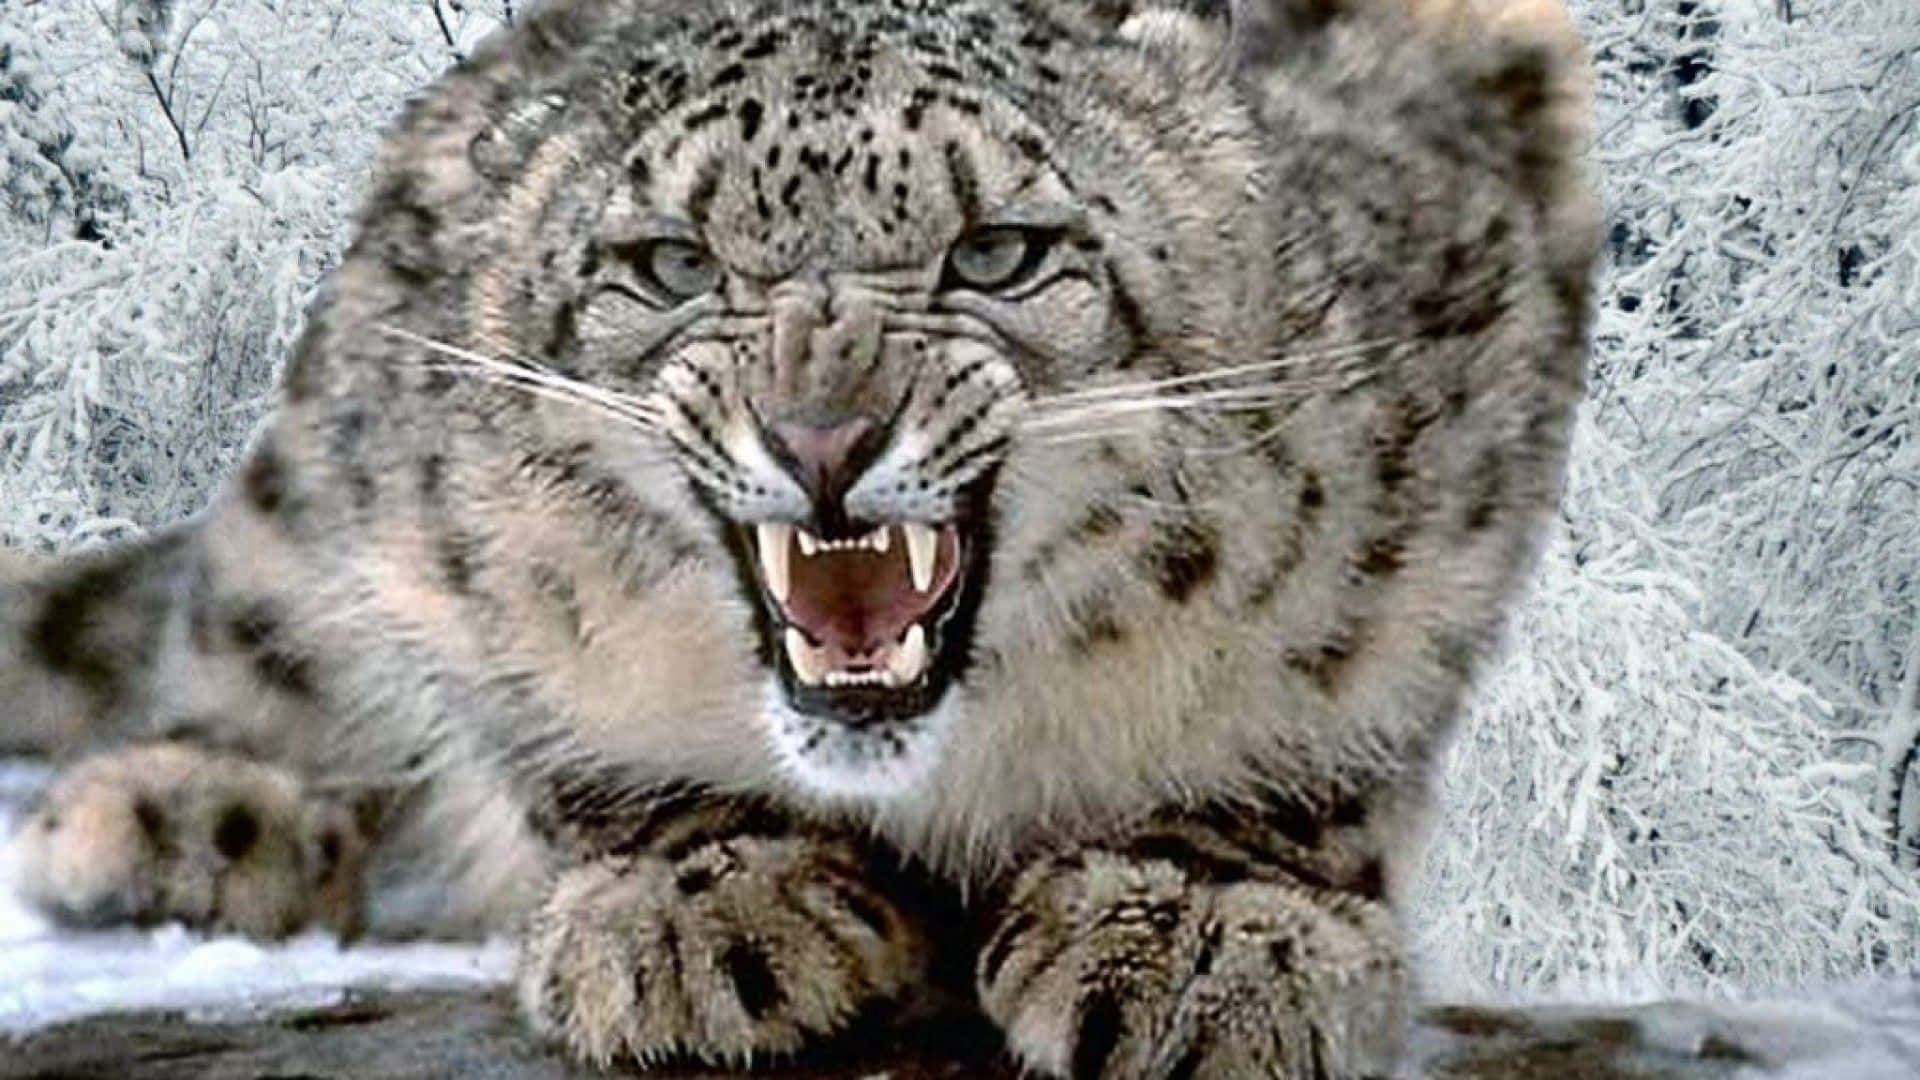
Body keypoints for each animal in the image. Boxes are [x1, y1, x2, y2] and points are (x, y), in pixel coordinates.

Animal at [0, 0, 1599, 1074]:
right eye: (673, 265)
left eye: (998, 251)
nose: (823, 439)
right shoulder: (439, 500)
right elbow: (535, 707)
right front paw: (703, 905)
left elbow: (1352, 676)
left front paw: (1201, 919)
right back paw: (185, 812)